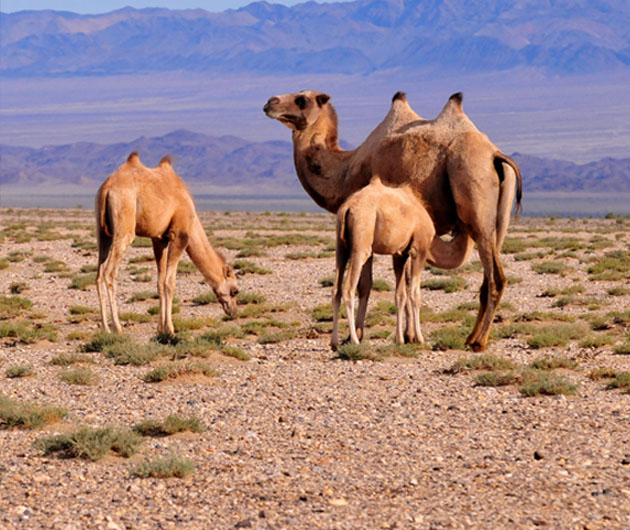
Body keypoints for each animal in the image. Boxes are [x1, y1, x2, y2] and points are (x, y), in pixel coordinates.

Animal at [95, 152, 239, 336]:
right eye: (235, 291)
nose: (233, 311)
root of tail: (108, 188)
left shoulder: (159, 239)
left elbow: (160, 281)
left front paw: (160, 329)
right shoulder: (179, 235)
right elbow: (170, 282)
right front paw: (170, 329)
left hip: (103, 233)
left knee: (99, 275)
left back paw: (105, 328)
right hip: (124, 226)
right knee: (109, 273)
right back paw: (117, 328)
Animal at [331, 178, 435, 351]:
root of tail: (348, 207)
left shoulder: (400, 253)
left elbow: (400, 294)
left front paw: (400, 339)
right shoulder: (419, 249)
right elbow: (415, 294)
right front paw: (420, 339)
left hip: (341, 246)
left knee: (336, 290)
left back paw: (334, 343)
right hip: (361, 243)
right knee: (348, 290)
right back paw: (355, 341)